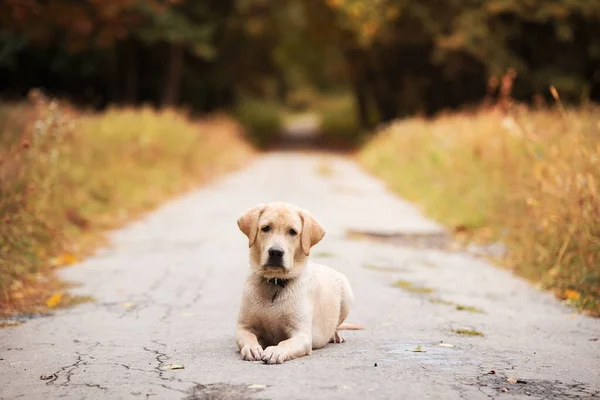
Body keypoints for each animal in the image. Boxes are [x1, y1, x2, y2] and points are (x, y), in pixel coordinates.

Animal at [233, 202, 360, 364]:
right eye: (265, 228)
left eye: (292, 232)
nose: (275, 252)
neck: (275, 283)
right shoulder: (243, 327)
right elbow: (248, 337)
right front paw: (252, 348)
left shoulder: (302, 335)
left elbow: (285, 343)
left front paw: (275, 351)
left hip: (346, 297)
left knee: (337, 324)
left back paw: (335, 334)